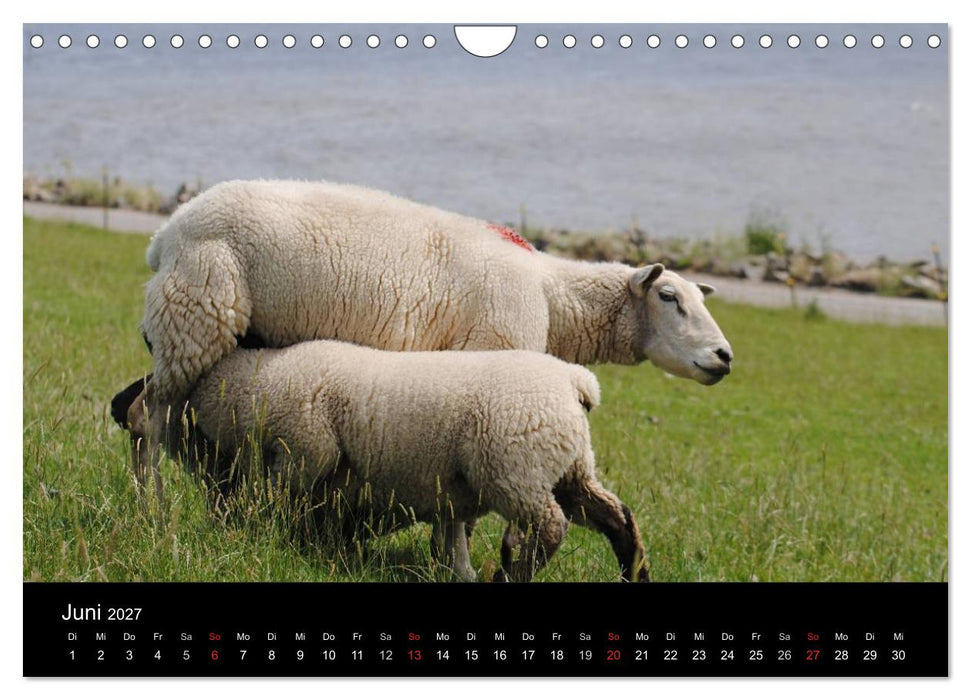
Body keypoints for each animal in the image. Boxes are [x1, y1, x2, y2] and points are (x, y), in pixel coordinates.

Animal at [128, 180, 733, 489]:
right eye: (669, 297)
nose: (725, 356)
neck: (553, 294)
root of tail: (165, 234)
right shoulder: (492, 354)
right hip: (194, 314)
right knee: (147, 417)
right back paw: (152, 505)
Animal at [159, 340, 651, 583]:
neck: (256, 386)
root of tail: (573, 381)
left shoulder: (307, 448)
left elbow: (285, 499)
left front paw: (275, 534)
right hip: (570, 468)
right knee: (616, 515)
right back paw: (635, 572)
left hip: (514, 470)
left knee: (551, 526)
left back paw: (513, 572)